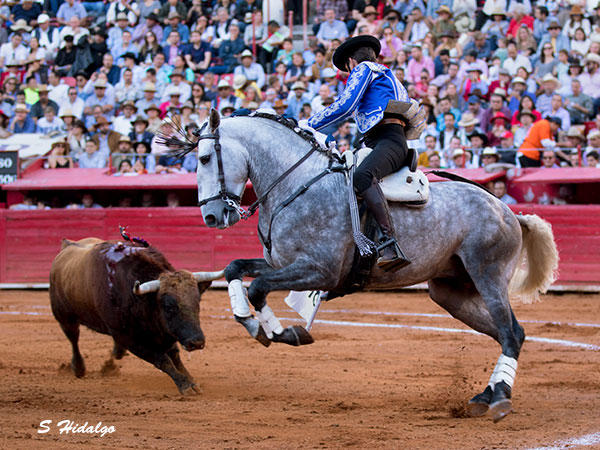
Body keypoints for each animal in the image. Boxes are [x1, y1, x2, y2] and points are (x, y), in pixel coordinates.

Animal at [50, 239, 224, 394]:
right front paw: (185, 385)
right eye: (168, 307)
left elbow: (174, 356)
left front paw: (192, 381)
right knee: (73, 338)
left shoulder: (164, 332)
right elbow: (162, 359)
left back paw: (116, 354)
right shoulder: (127, 338)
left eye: (197, 302)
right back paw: (79, 368)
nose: (196, 342)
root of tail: (67, 245)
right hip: (64, 318)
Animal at [190, 109, 560, 422]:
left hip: (489, 276)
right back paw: (486, 395)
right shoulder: (279, 263)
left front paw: (284, 333)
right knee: (510, 332)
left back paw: (499, 400)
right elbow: (235, 268)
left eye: (205, 158)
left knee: (510, 332)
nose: (211, 216)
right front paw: (252, 323)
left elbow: (258, 286)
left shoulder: (319, 270)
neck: (296, 184)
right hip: (451, 293)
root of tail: (509, 211)